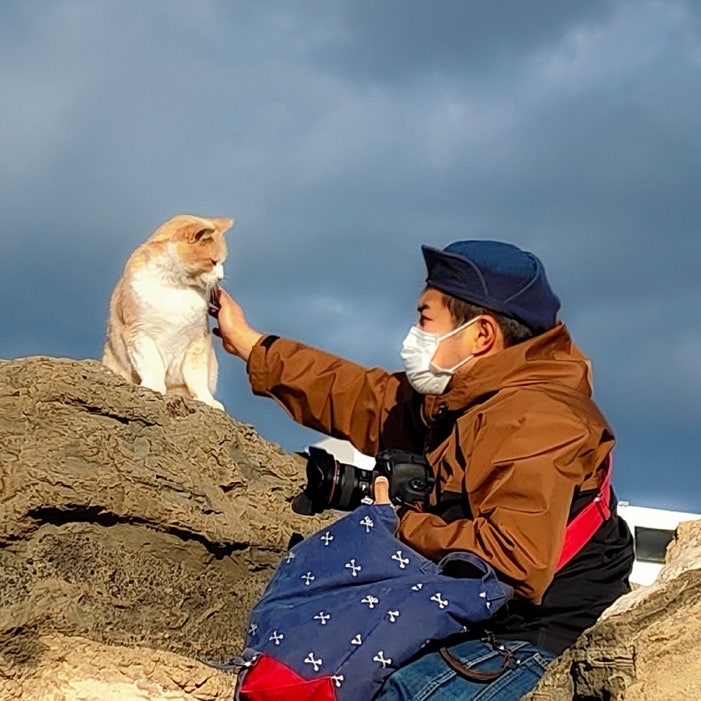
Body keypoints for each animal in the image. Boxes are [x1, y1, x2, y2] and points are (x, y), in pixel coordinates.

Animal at [101, 213, 234, 410]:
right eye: (213, 262)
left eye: (221, 263)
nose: (221, 277)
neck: (176, 287)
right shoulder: (139, 334)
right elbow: (152, 365)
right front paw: (154, 387)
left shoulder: (198, 341)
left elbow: (197, 377)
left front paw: (206, 400)